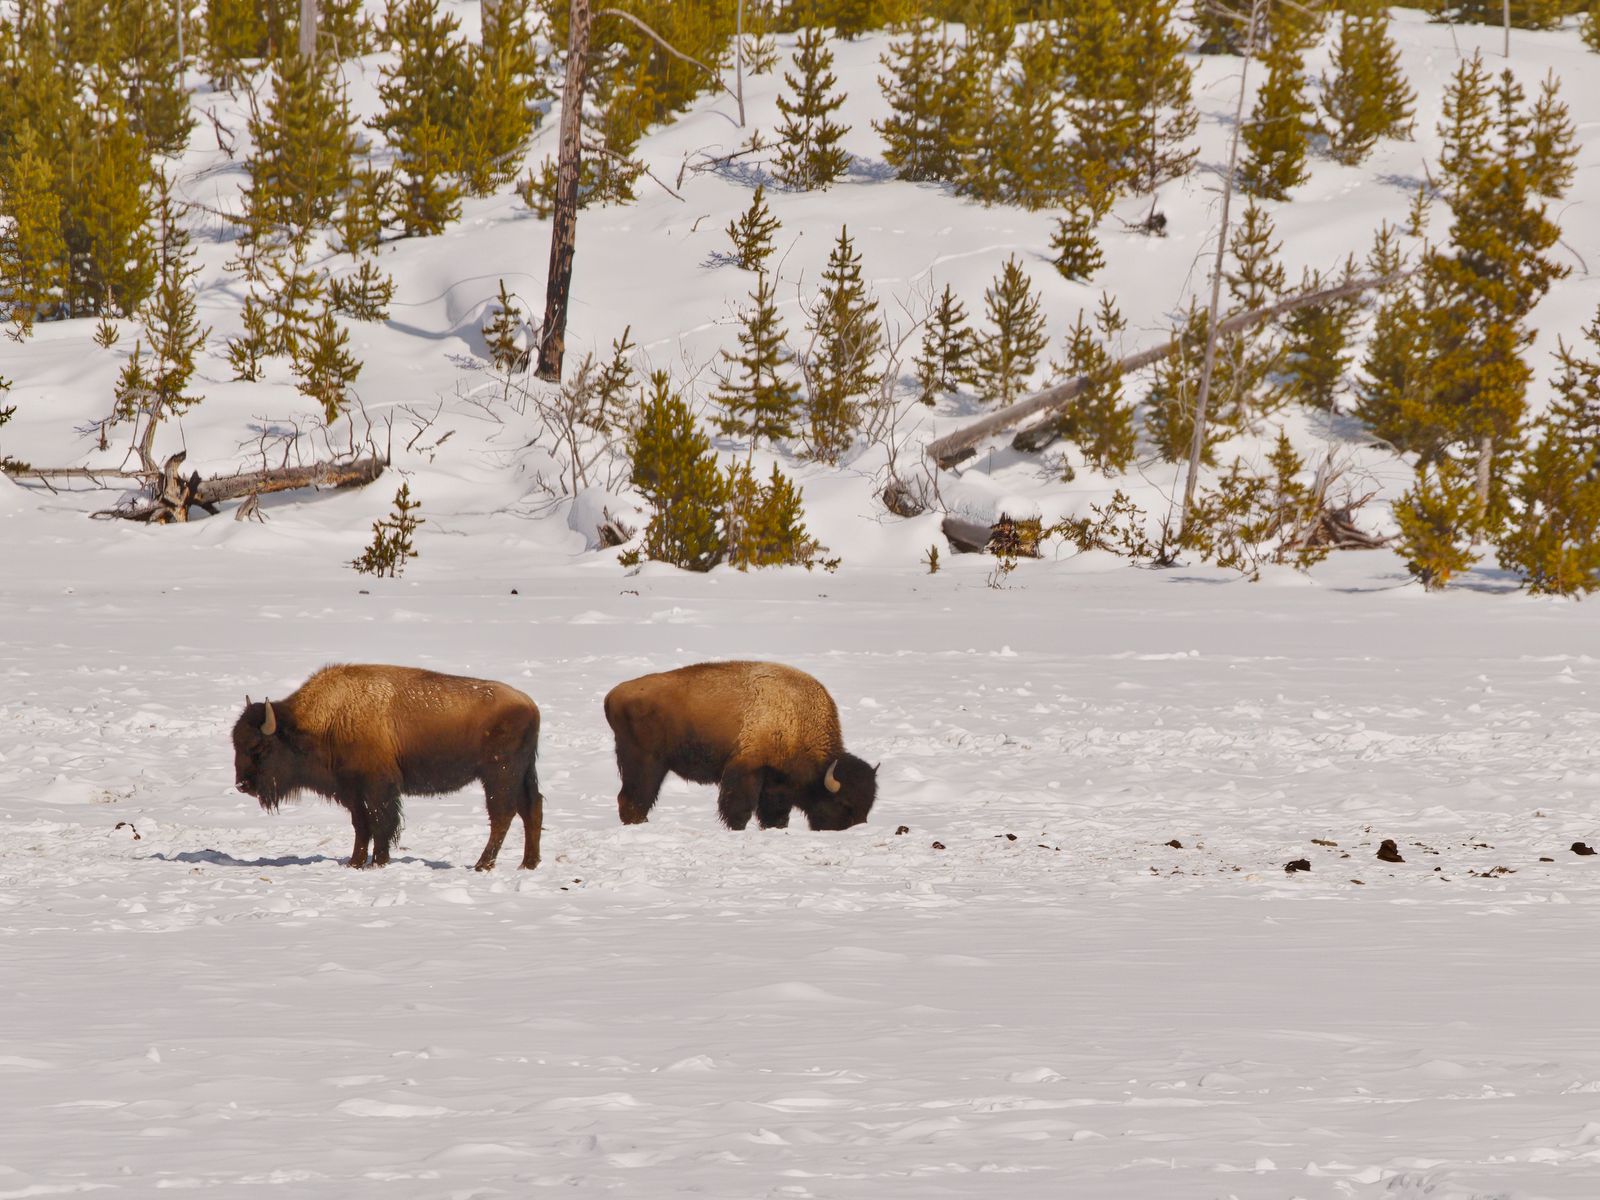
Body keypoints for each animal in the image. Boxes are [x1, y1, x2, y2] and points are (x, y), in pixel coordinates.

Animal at [231, 664, 543, 871]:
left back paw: (483, 865)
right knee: (531, 809)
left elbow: (381, 822)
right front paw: (355, 862)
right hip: (522, 774)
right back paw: (527, 864)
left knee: (503, 814)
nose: (242, 785)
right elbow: (362, 826)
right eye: (236, 744)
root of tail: (529, 704)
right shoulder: (352, 791)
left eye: (260, 748)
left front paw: (377, 863)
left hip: (499, 774)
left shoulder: (377, 787)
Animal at [603, 661, 877, 831]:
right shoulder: (747, 768)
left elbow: (774, 813)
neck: (797, 718)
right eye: (844, 804)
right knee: (634, 798)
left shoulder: (776, 781)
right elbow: (739, 808)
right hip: (645, 762)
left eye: (868, 806)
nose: (855, 829)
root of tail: (614, 695)